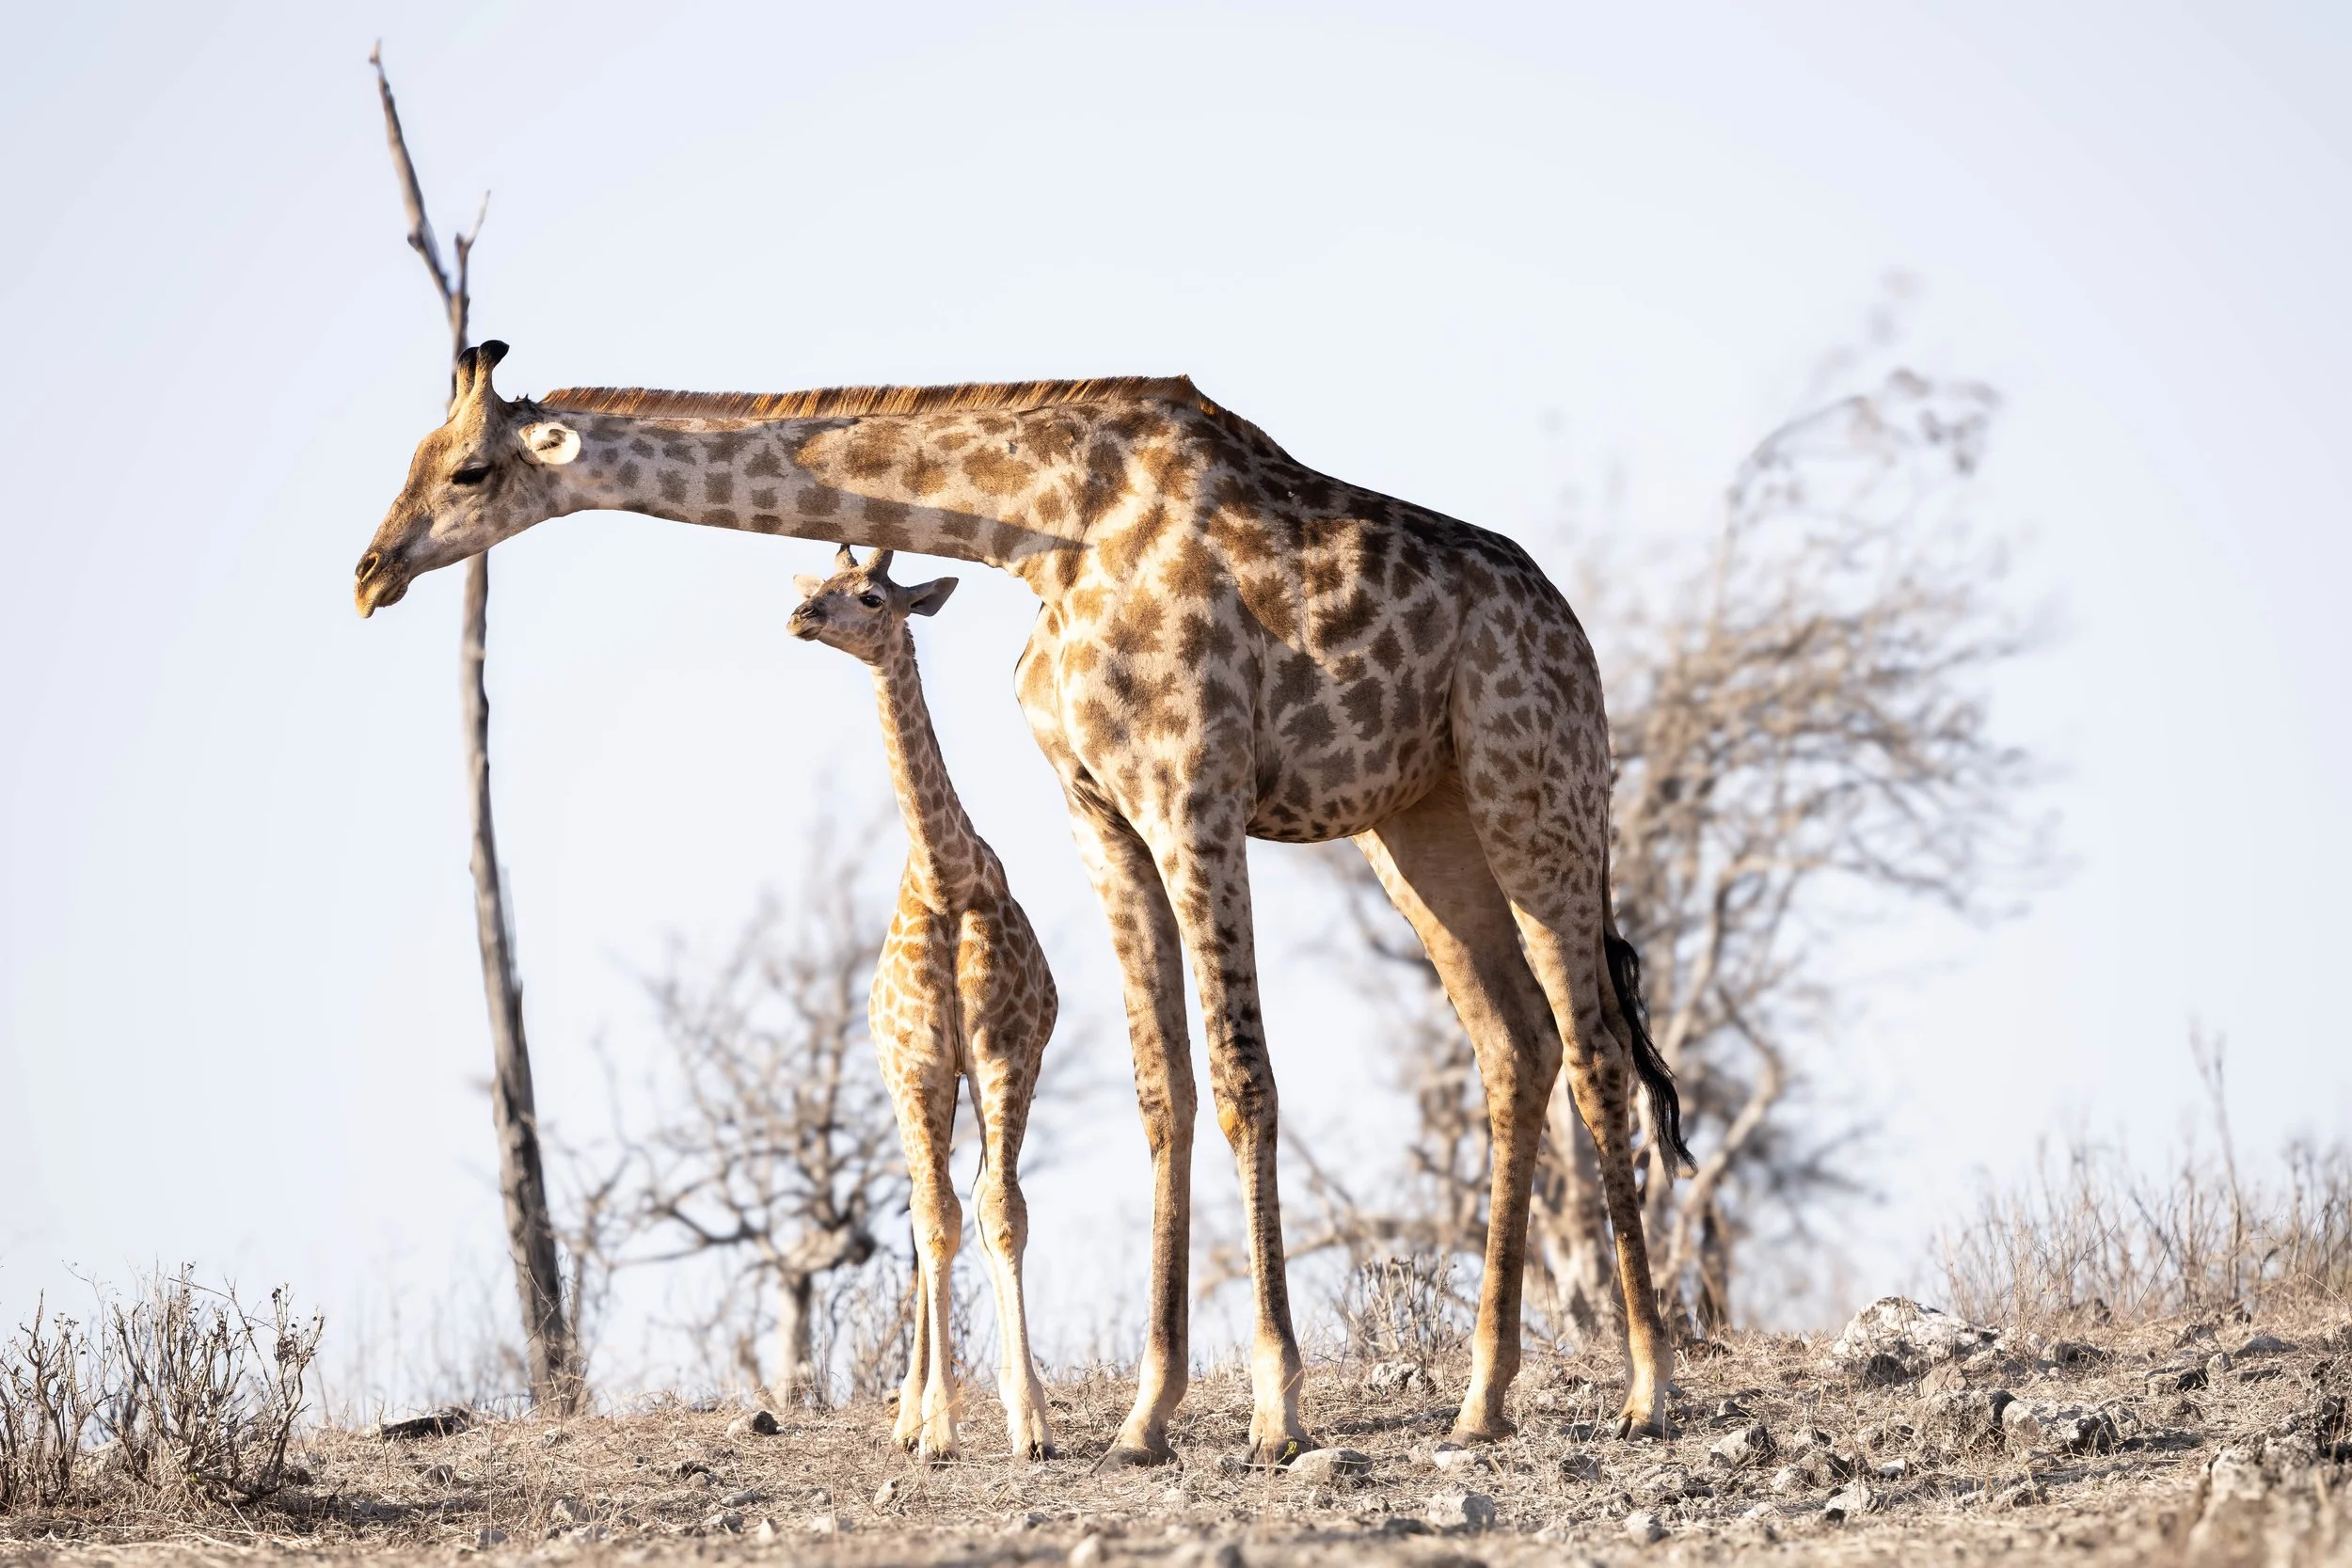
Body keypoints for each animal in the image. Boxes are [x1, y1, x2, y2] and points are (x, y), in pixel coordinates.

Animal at [786, 542, 1058, 1463]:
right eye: (817, 585)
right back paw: (908, 1413)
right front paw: (937, 1424)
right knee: (921, 1205)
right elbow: (935, 1218)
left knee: (963, 1199)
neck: (945, 876)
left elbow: (1001, 1211)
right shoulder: (918, 1065)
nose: (799, 617)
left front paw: (1029, 1419)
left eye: (872, 595)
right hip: (917, 1085)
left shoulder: (1007, 1053)